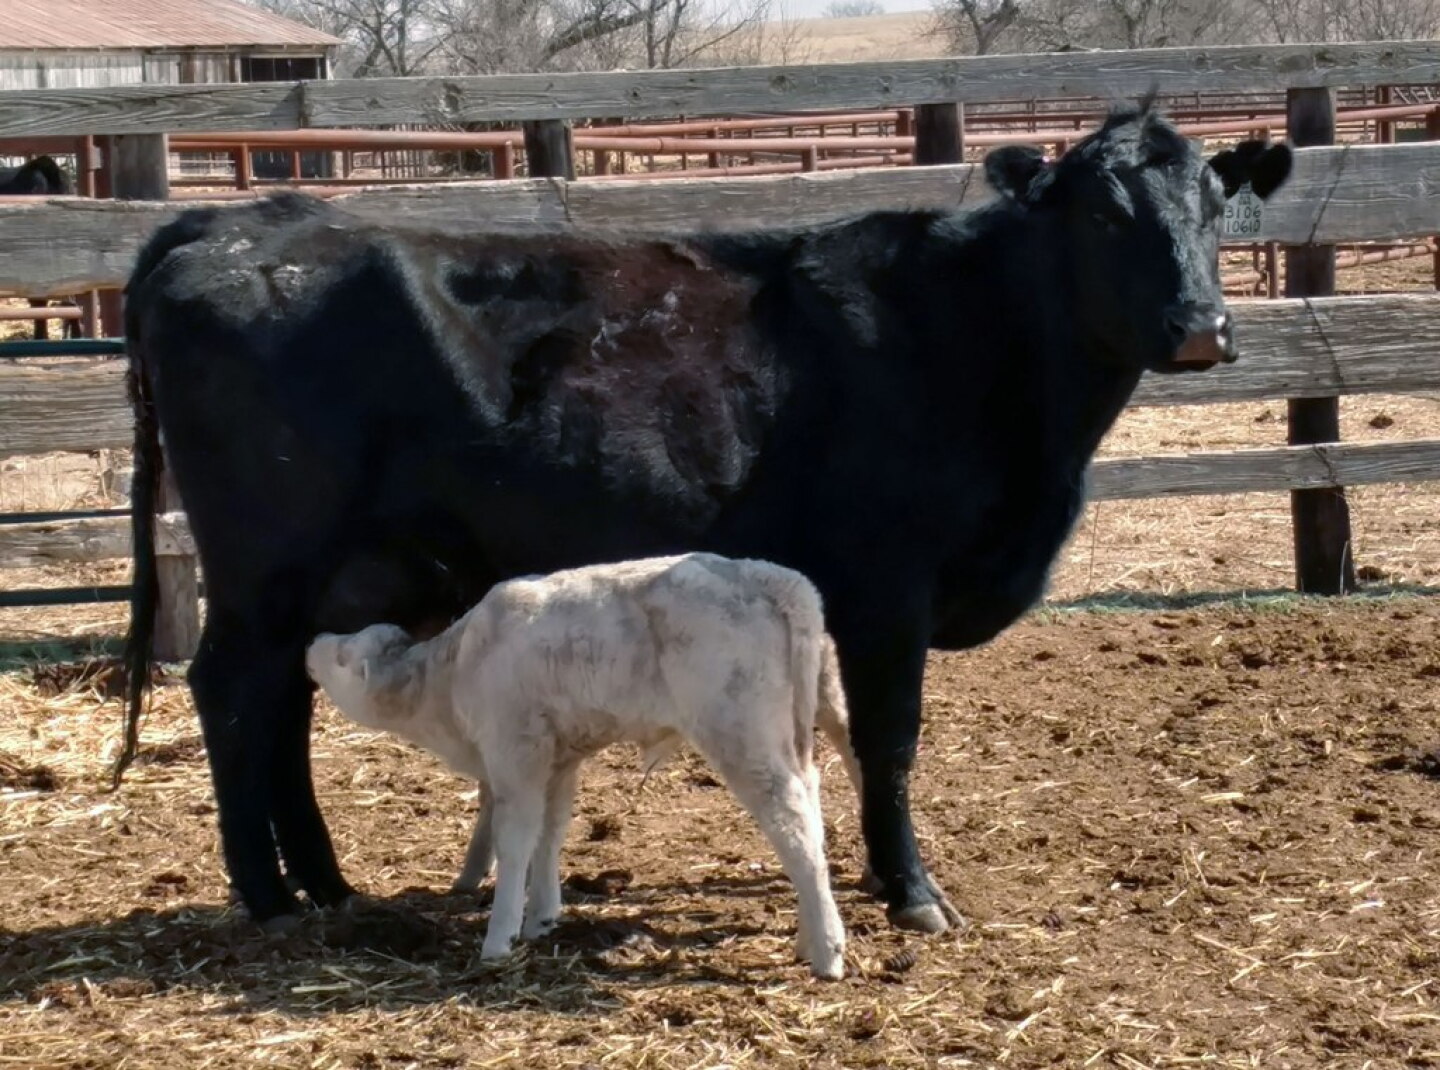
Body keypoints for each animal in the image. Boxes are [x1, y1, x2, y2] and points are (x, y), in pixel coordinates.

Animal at [306, 552, 854, 978]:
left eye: (342, 656)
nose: (312, 643)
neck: (453, 676)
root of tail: (770, 577)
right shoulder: (559, 759)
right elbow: (550, 834)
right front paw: (541, 919)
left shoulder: (517, 753)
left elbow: (516, 841)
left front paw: (499, 939)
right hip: (789, 733)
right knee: (811, 805)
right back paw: (809, 935)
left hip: (741, 732)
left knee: (793, 824)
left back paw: (827, 952)